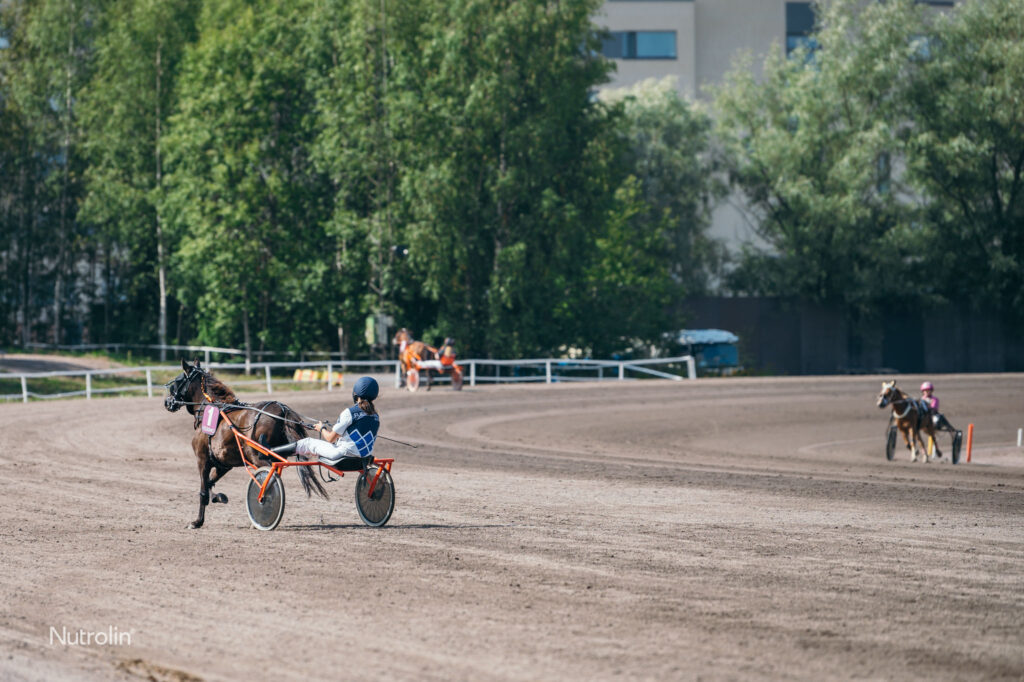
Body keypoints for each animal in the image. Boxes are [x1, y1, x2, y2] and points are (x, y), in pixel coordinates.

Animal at [163, 358, 325, 528]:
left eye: (177, 381)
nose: (167, 402)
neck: (212, 409)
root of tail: (281, 409)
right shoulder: (223, 464)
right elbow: (210, 483)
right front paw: (218, 497)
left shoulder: (203, 460)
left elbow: (203, 490)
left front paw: (197, 521)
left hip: (258, 457)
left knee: (268, 477)